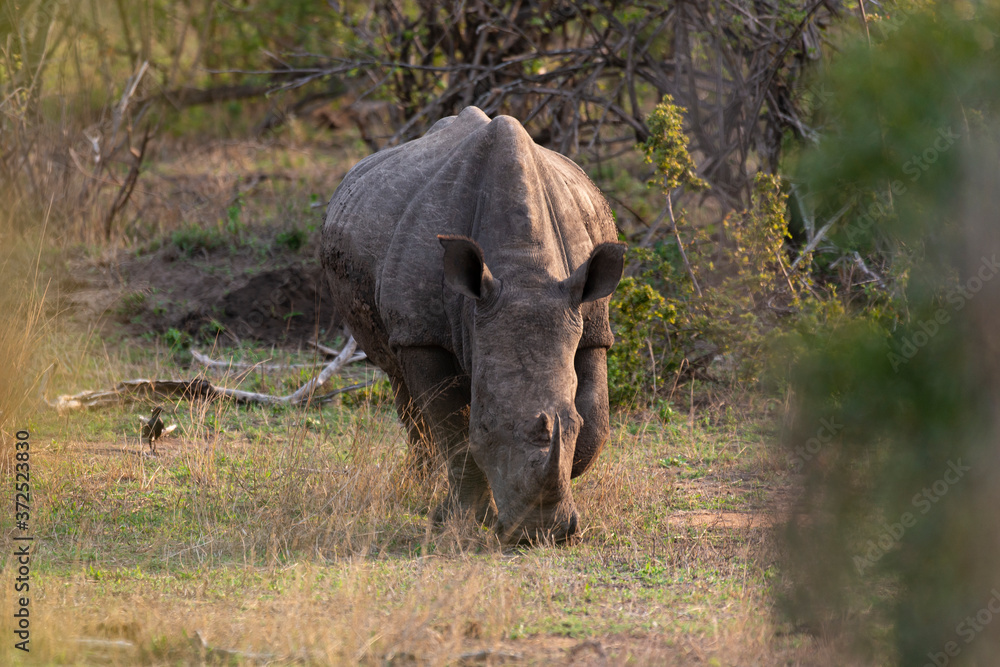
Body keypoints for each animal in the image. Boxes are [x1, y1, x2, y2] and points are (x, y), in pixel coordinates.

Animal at [321, 106, 625, 544]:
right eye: (486, 424)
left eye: (571, 422)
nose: (539, 533)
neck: (524, 269)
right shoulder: (422, 335)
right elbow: (454, 433)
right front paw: (460, 519)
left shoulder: (590, 325)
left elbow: (595, 424)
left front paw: (570, 473)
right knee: (401, 384)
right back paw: (419, 490)